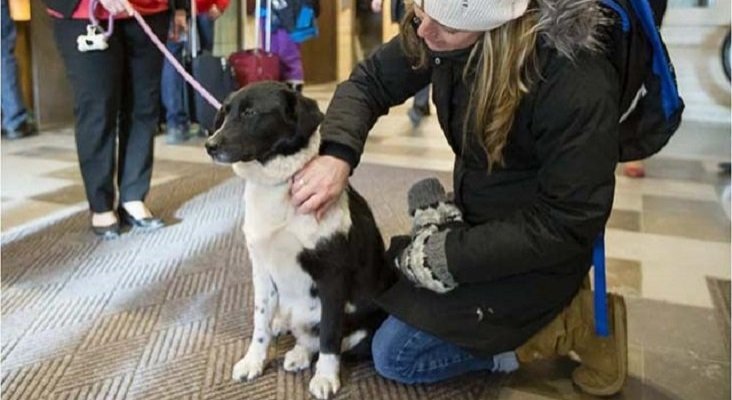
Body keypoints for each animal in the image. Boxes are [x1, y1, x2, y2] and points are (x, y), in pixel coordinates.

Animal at [206, 82, 394, 400]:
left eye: (250, 113)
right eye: (225, 112)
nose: (210, 145)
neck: (278, 186)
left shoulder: (332, 277)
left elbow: (330, 334)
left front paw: (326, 377)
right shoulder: (262, 271)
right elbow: (260, 324)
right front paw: (253, 362)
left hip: (362, 328)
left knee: (331, 339)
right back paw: (296, 352)